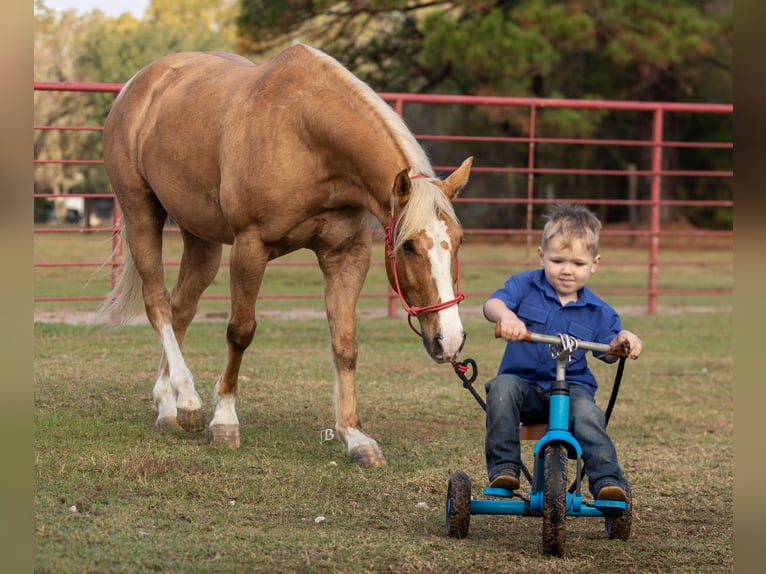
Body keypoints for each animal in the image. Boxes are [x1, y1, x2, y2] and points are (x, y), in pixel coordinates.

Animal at [100, 43, 473, 467]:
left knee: (180, 310)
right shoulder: (250, 247)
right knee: (157, 304)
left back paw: (169, 404)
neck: (307, 137)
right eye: (407, 245)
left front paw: (355, 437)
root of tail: (138, 85)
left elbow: (345, 344)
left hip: (201, 238)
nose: (450, 339)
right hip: (141, 215)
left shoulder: (346, 255)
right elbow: (240, 332)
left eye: (459, 240)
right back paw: (190, 402)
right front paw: (224, 420)